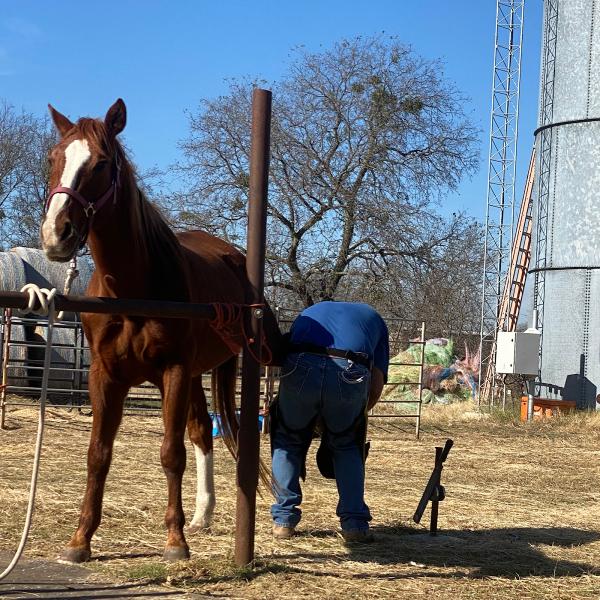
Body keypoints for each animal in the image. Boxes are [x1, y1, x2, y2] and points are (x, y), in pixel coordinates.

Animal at [40, 98, 284, 564]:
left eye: (101, 163)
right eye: (53, 158)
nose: (56, 235)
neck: (132, 289)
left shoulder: (173, 371)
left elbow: (171, 454)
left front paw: (175, 541)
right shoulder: (105, 375)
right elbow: (98, 455)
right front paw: (80, 540)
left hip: (208, 369)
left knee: (201, 433)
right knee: (202, 431)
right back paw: (202, 515)